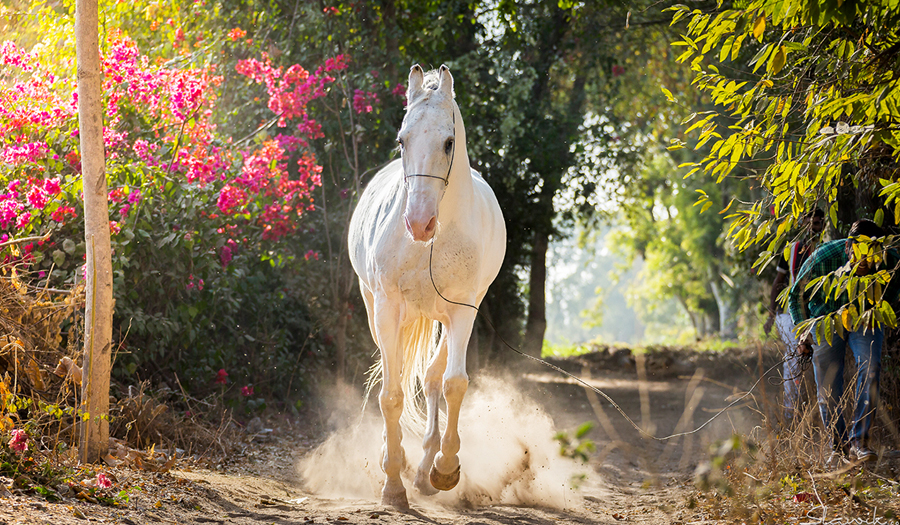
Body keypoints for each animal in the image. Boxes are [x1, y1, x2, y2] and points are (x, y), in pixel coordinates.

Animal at [348, 63, 506, 506]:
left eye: (448, 142)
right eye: (402, 140)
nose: (418, 223)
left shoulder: (462, 312)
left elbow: (453, 384)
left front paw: (445, 468)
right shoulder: (387, 307)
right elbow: (391, 394)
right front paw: (391, 483)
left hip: (446, 317)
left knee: (433, 378)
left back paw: (423, 469)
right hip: (380, 310)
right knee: (400, 376)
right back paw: (399, 460)